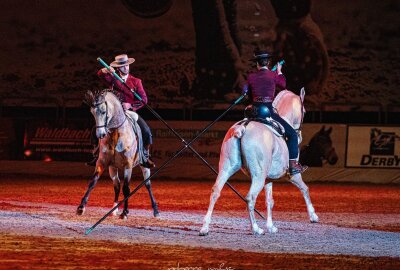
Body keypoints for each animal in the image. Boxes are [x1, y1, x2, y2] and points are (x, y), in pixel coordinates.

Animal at [76, 89, 159, 218]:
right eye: (92, 113)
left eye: (103, 112)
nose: (100, 134)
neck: (116, 133)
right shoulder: (102, 162)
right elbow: (93, 182)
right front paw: (81, 207)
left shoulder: (128, 165)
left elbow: (126, 188)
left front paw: (125, 212)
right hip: (112, 168)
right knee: (117, 185)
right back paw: (114, 209)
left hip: (144, 166)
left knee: (147, 184)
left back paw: (155, 210)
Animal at [200, 89, 318, 235]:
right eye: (305, 111)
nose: (299, 136)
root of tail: (243, 127)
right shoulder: (293, 175)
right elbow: (305, 189)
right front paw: (313, 216)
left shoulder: (268, 178)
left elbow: (269, 200)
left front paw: (271, 226)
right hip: (258, 176)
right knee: (250, 198)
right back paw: (256, 229)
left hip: (227, 168)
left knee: (215, 191)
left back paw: (205, 228)